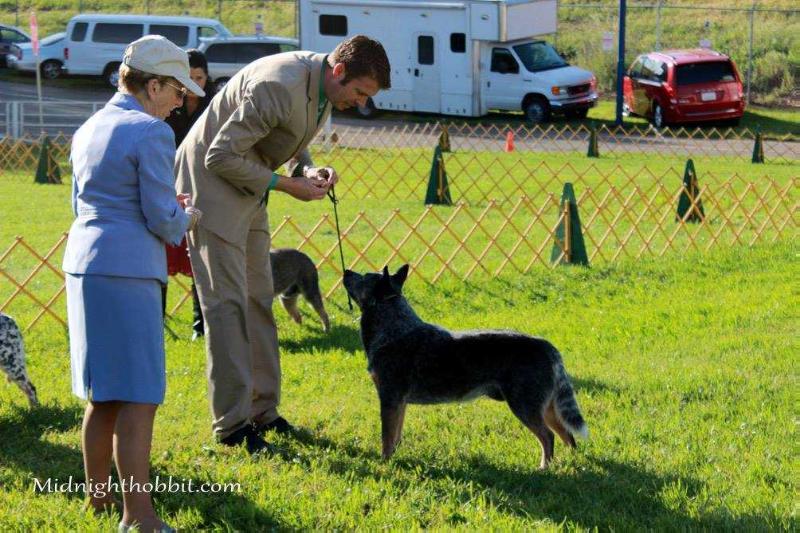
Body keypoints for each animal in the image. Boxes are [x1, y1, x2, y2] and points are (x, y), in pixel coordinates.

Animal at [342, 264, 588, 466]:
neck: (394, 328)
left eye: (364, 276)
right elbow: (396, 436)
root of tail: (548, 346)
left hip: (524, 405)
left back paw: (544, 467)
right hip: (547, 407)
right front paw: (395, 457)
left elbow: (386, 437)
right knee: (567, 434)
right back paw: (572, 461)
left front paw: (384, 462)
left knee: (548, 436)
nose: (346, 271)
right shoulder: (399, 402)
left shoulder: (389, 398)